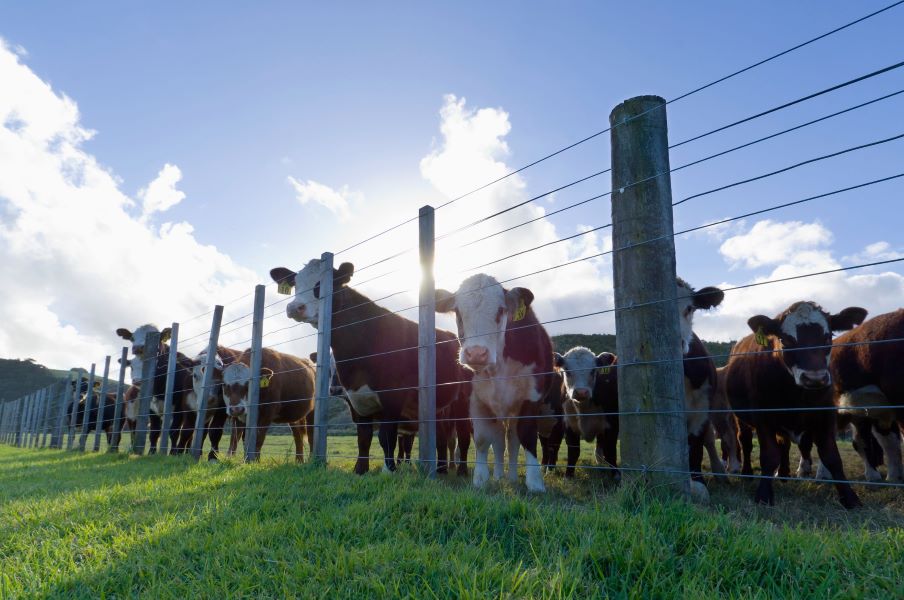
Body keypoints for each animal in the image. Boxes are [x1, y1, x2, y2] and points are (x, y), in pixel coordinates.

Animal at [270, 260, 470, 476]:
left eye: (325, 284)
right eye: (295, 283)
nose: (294, 307)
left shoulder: (393, 396)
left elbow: (386, 436)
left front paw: (389, 470)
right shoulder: (358, 401)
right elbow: (364, 438)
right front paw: (360, 470)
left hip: (463, 402)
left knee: (462, 438)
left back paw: (460, 471)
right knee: (441, 438)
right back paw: (441, 469)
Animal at [432, 272, 552, 492]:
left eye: (501, 310)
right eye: (458, 311)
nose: (476, 353)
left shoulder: (531, 397)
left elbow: (527, 436)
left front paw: (535, 482)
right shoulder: (473, 400)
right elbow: (481, 439)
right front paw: (480, 479)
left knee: (512, 439)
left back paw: (511, 477)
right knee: (499, 439)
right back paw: (498, 475)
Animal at [556, 346, 616, 478]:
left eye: (593, 370)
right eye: (567, 370)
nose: (581, 392)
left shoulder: (613, 422)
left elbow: (610, 450)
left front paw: (616, 476)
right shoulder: (568, 424)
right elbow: (574, 451)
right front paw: (568, 476)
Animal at [720, 300, 868, 506]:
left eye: (827, 337)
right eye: (786, 340)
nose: (815, 378)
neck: (797, 395)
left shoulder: (825, 416)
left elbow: (831, 457)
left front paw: (849, 497)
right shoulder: (763, 417)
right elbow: (769, 455)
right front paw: (764, 494)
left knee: (784, 444)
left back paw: (783, 474)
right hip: (741, 419)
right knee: (746, 441)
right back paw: (747, 472)